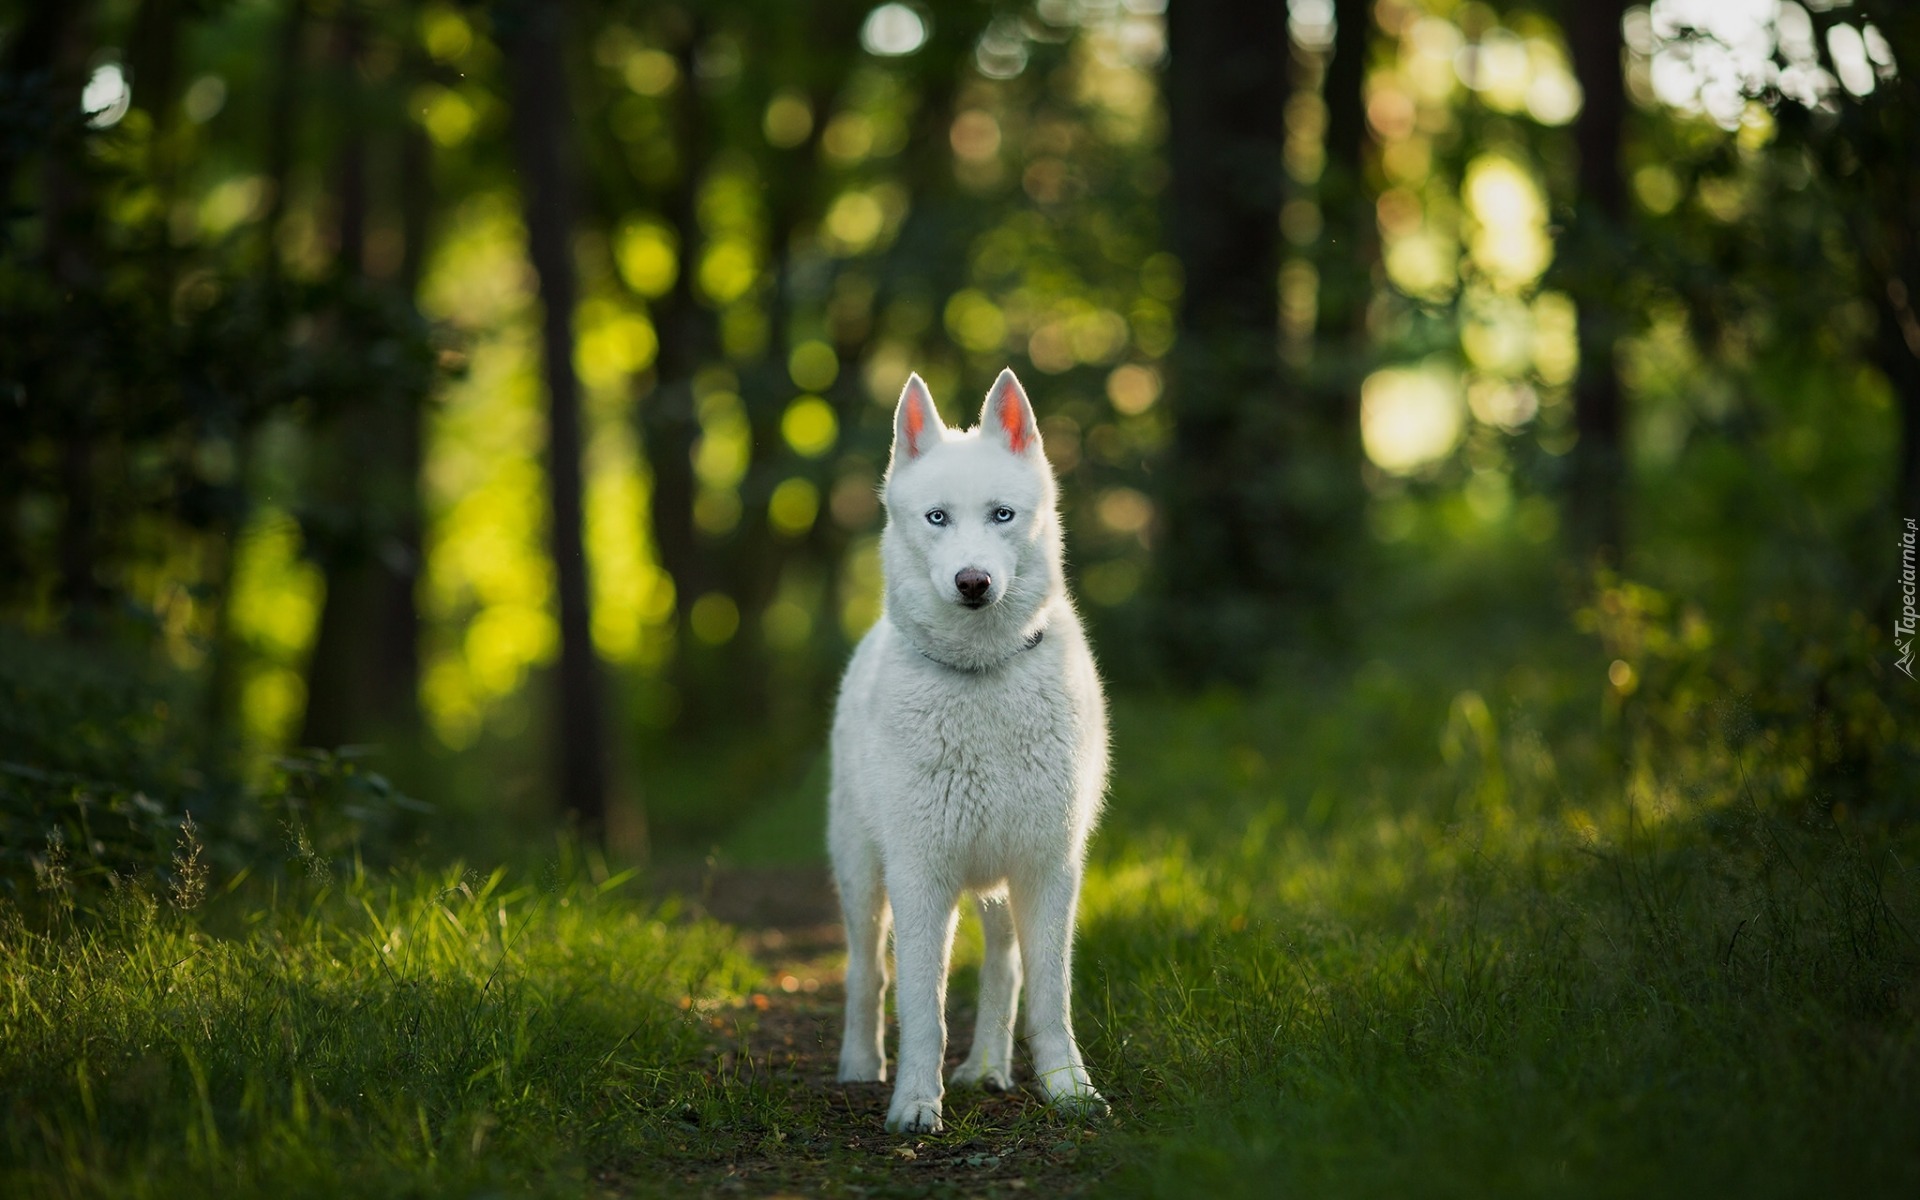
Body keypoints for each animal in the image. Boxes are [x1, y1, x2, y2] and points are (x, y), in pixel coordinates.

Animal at [829, 366, 1113, 1128]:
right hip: (863, 877)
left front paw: (1069, 1089)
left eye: (1002, 515)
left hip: (998, 886)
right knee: (866, 972)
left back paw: (986, 1068)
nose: (973, 583)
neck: (983, 676)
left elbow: (1048, 995)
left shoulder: (1048, 870)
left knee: (1002, 970)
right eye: (937, 519)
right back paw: (860, 1066)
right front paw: (914, 1106)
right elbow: (920, 1005)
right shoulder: (921, 878)